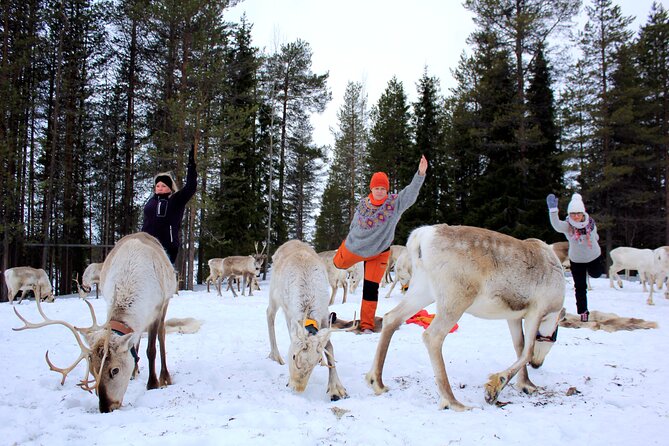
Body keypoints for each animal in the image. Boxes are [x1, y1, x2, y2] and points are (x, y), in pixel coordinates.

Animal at [13, 232, 176, 413]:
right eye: (92, 370)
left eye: (115, 370)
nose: (106, 407)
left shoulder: (157, 309)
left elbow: (151, 350)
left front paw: (153, 384)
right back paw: (135, 372)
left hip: (166, 302)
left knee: (161, 336)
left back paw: (164, 376)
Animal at [366, 224, 565, 411]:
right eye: (554, 339)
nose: (538, 365)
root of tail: (420, 236)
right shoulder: (536, 310)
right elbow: (527, 351)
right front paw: (494, 387)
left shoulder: (513, 316)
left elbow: (519, 346)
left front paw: (526, 384)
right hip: (456, 297)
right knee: (433, 336)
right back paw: (453, 401)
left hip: (422, 289)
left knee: (391, 318)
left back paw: (377, 381)